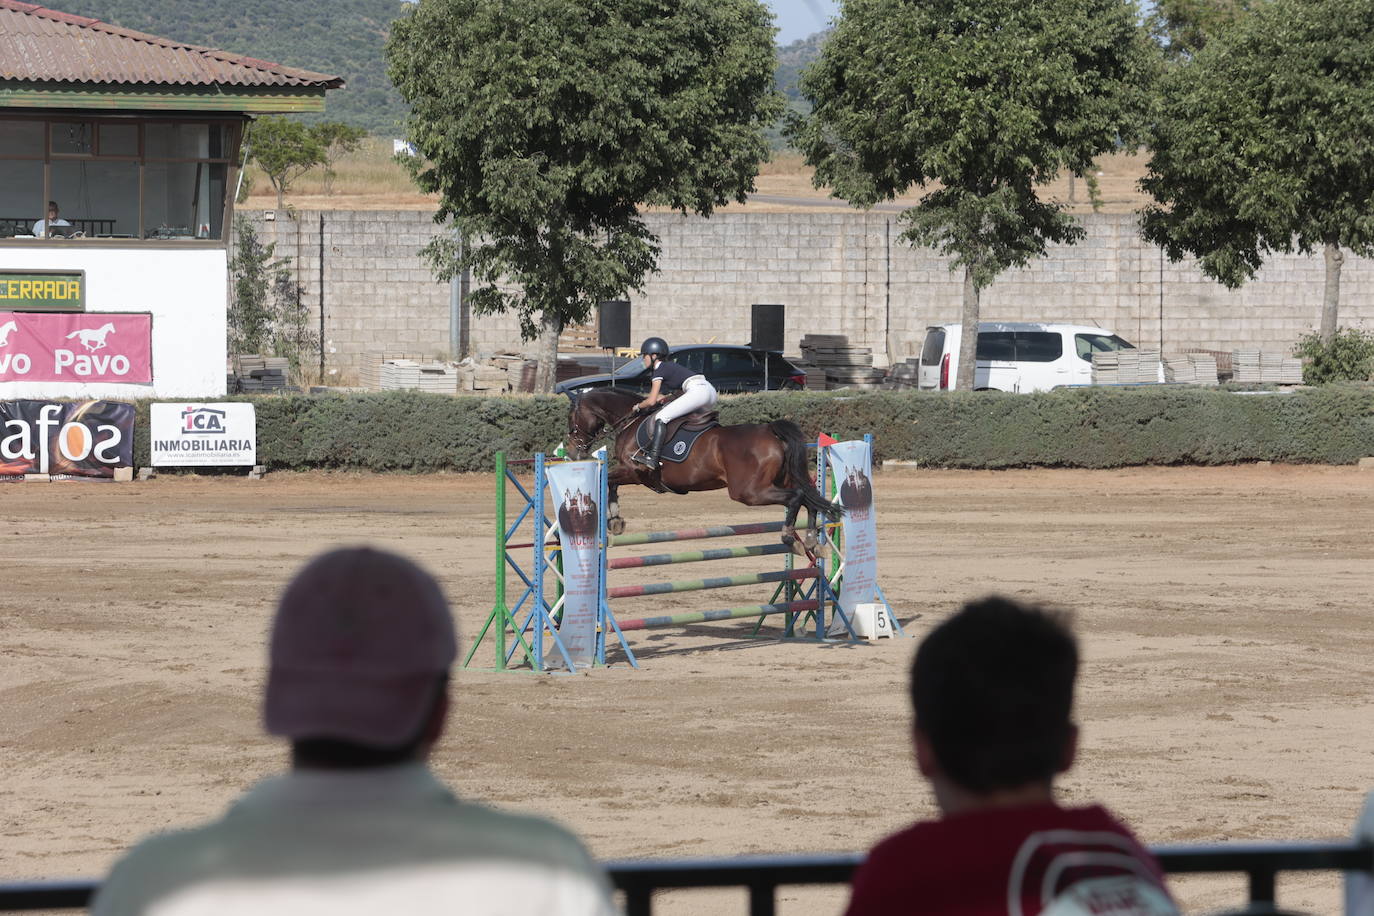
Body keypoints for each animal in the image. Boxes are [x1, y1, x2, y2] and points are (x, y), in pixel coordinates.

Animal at [566, 387, 840, 552]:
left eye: (571, 419)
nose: (573, 453)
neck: (631, 421)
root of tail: (770, 431)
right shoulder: (634, 475)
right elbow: (611, 483)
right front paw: (615, 520)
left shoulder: (634, 471)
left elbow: (609, 480)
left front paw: (613, 518)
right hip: (781, 480)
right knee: (807, 496)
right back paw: (812, 540)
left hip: (749, 492)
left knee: (795, 497)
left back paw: (788, 537)